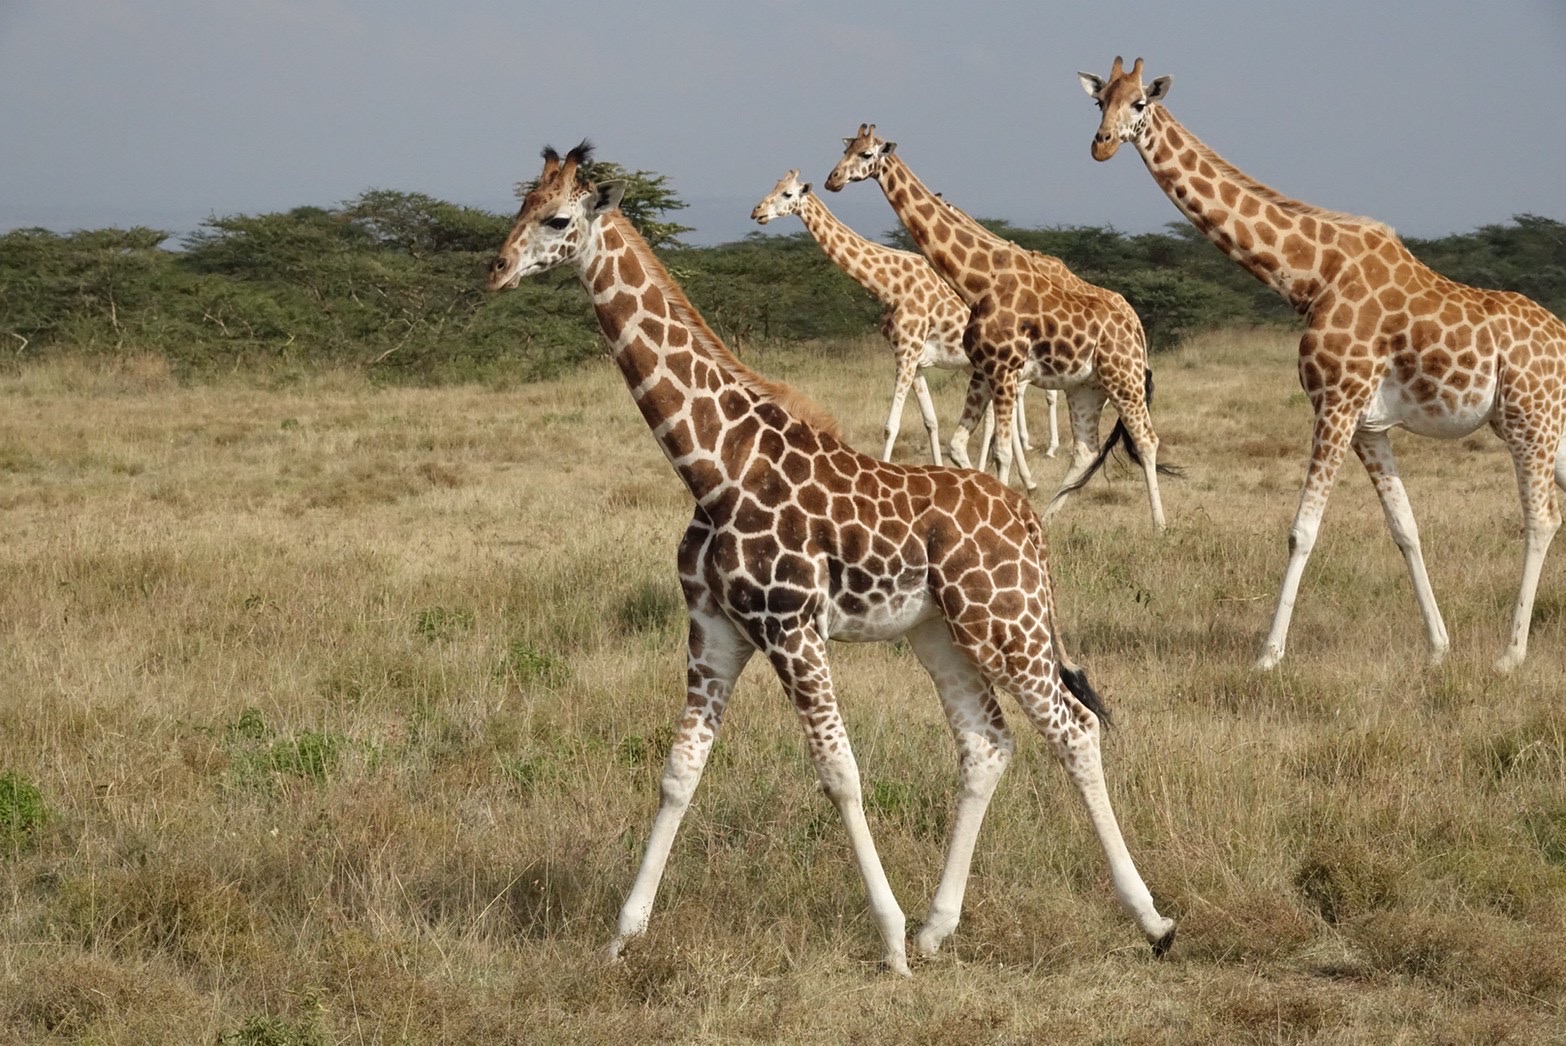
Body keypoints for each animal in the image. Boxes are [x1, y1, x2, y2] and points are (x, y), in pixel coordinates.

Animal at [748, 169, 1064, 463]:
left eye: (787, 193)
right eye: (773, 187)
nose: (757, 212)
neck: (889, 286)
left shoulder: (906, 354)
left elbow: (892, 426)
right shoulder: (917, 361)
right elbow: (931, 421)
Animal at [820, 123, 1177, 532]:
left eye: (866, 154)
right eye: (845, 149)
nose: (832, 180)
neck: (979, 282)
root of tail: (1137, 330)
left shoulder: (1004, 371)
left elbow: (1001, 451)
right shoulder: (985, 370)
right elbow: (963, 445)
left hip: (1124, 379)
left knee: (1147, 440)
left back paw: (1159, 526)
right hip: (1086, 387)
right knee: (1085, 451)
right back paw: (1046, 518)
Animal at [1083, 57, 1566, 670]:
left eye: (1140, 102)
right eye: (1100, 101)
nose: (1101, 146)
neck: (1311, 277)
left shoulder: (1336, 402)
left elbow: (1302, 530)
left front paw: (1268, 655)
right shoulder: (1367, 424)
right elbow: (1405, 528)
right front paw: (1438, 647)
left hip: (1529, 418)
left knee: (1542, 517)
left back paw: (1510, 656)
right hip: (1544, 428)